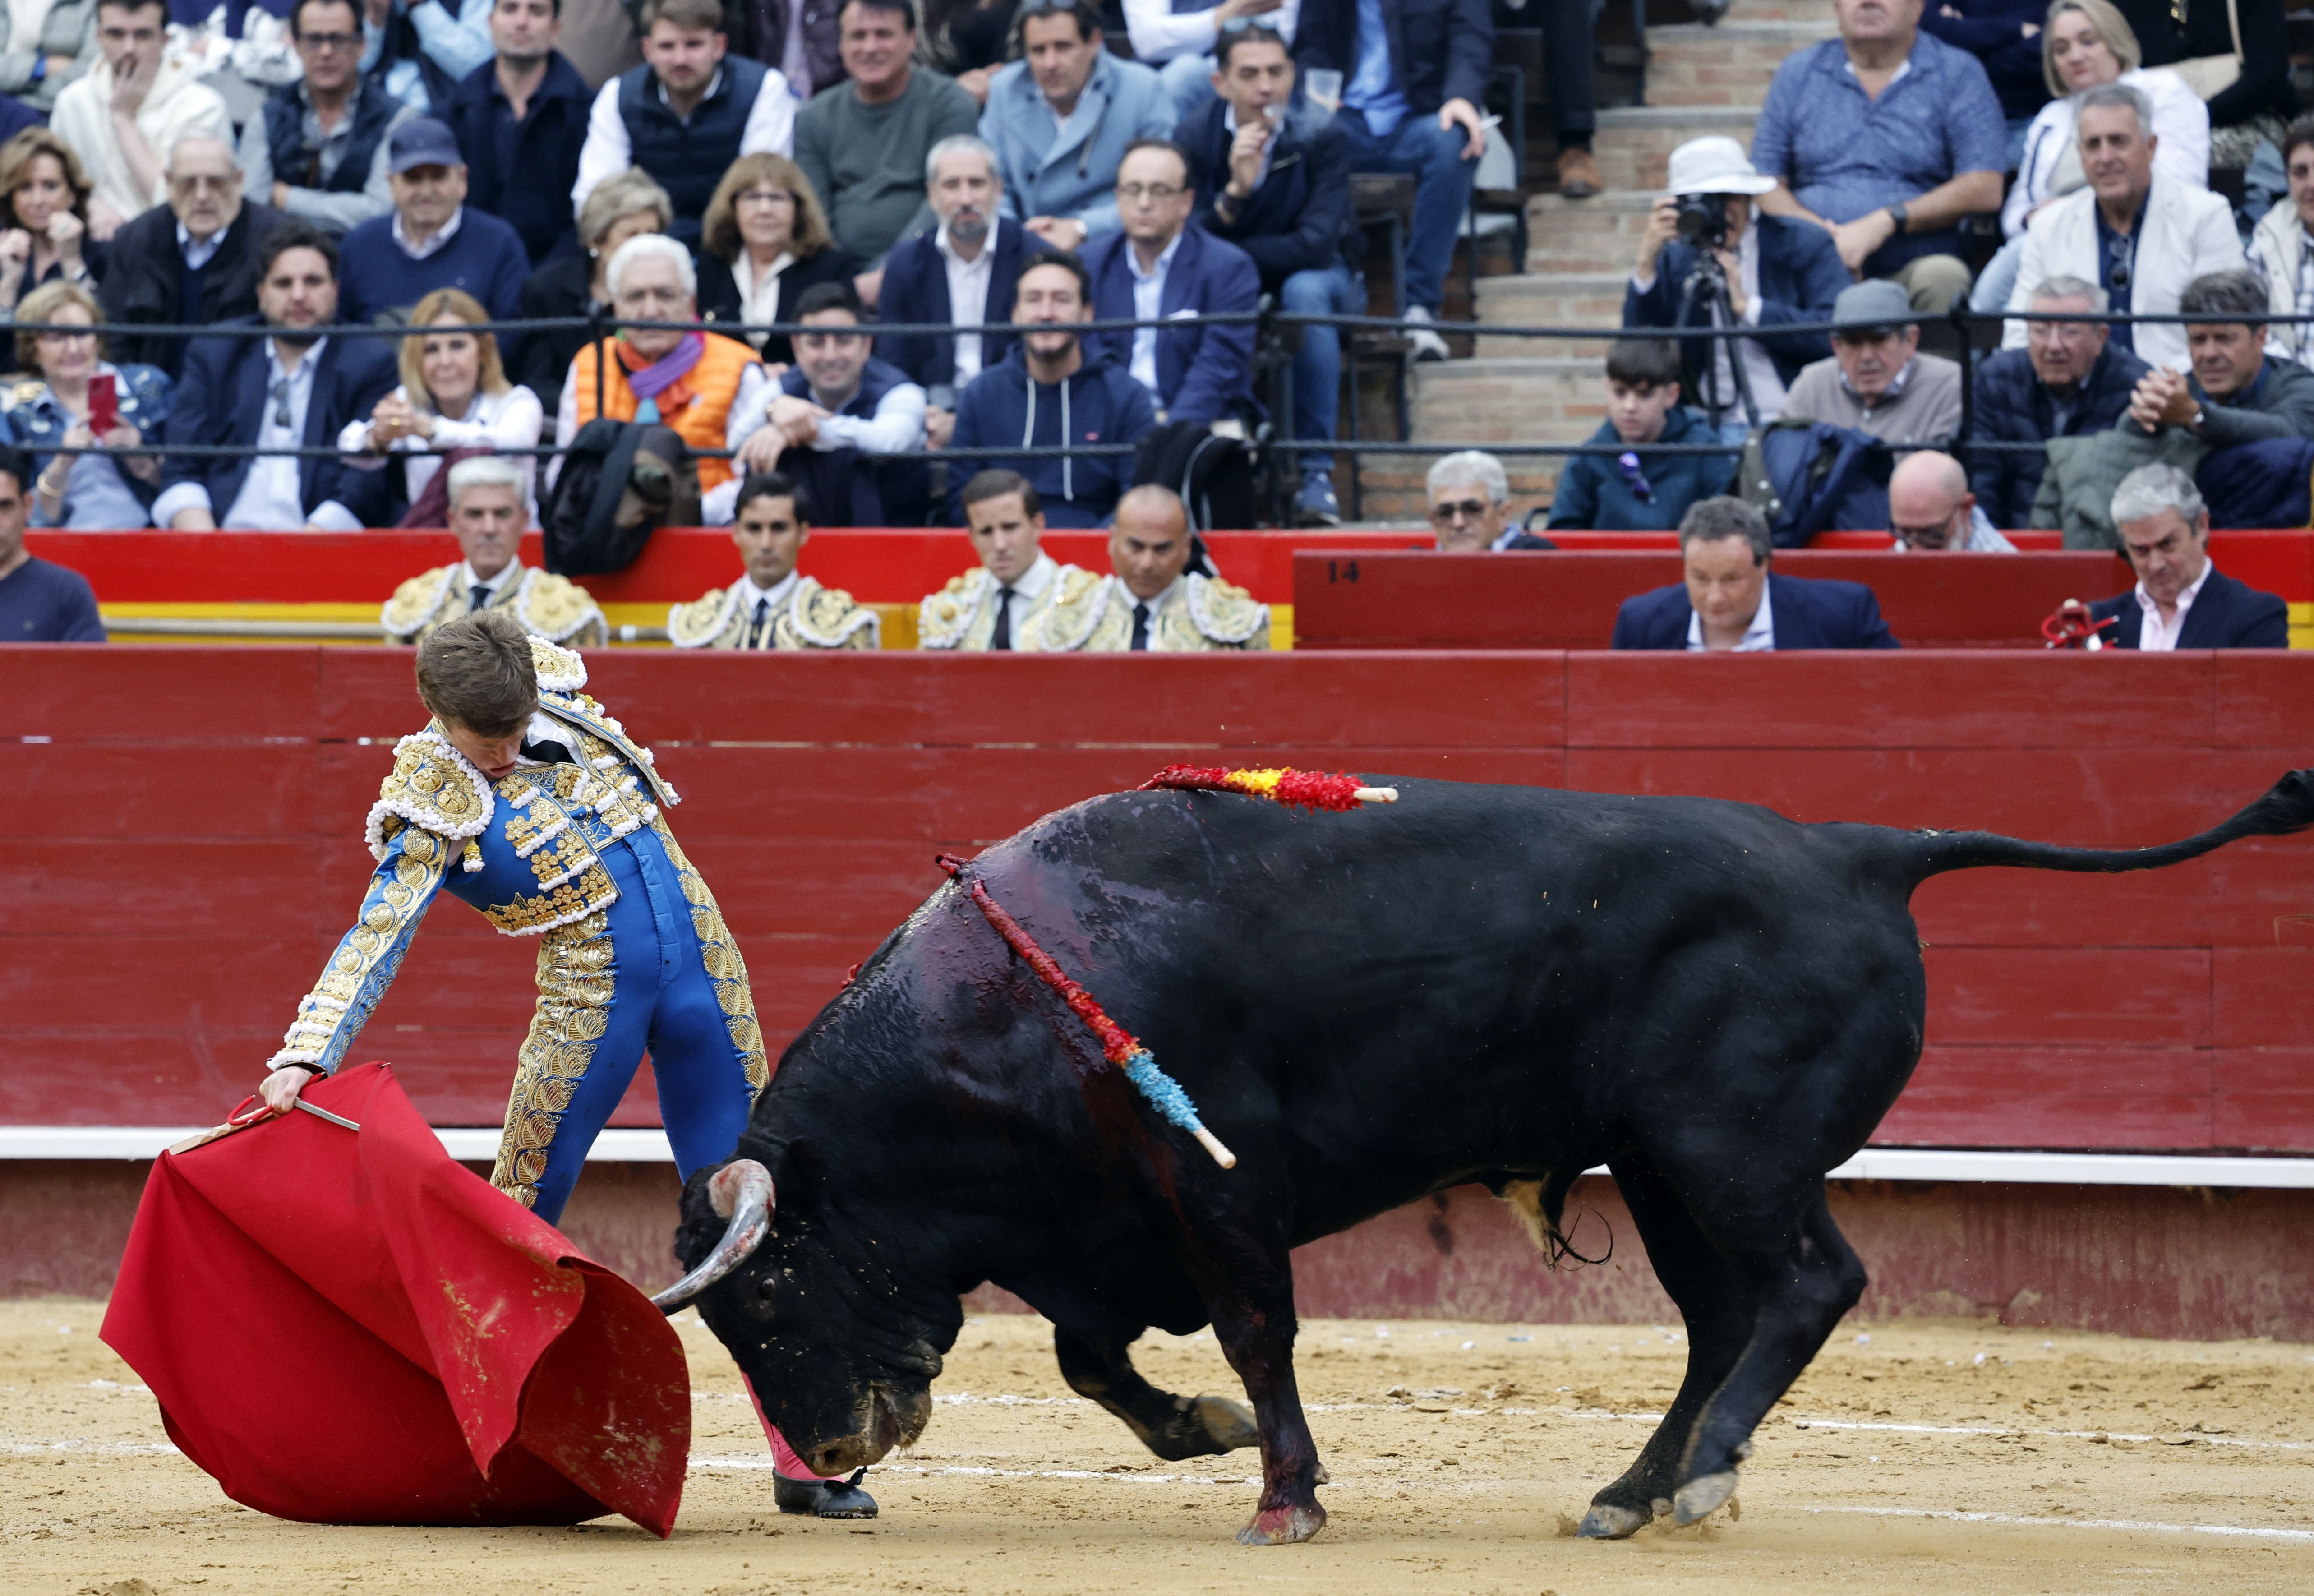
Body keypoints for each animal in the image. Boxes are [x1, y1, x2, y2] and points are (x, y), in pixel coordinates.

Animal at [666, 772, 2314, 1545]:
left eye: (774, 1295)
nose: (830, 1454)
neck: (1004, 1004)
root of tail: (1862, 849)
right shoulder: (1102, 1222)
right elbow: (1095, 1359)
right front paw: (1206, 1431)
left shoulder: (1217, 1189)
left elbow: (1254, 1329)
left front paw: (1284, 1495)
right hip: (1662, 1170)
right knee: (1724, 1320)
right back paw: (1634, 1491)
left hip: (1727, 1152)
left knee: (1808, 1289)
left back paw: (1705, 1478)